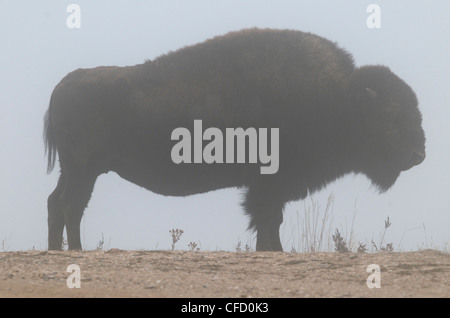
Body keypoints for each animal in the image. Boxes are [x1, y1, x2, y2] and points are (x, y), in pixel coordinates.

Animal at [43, 28, 426, 251]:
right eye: (392, 114)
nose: (419, 153)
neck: (340, 98)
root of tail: (63, 86)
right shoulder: (268, 185)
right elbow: (267, 219)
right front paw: (272, 251)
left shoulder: (273, 187)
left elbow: (272, 220)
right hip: (83, 170)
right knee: (70, 205)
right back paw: (75, 251)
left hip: (76, 171)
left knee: (56, 203)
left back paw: (56, 250)